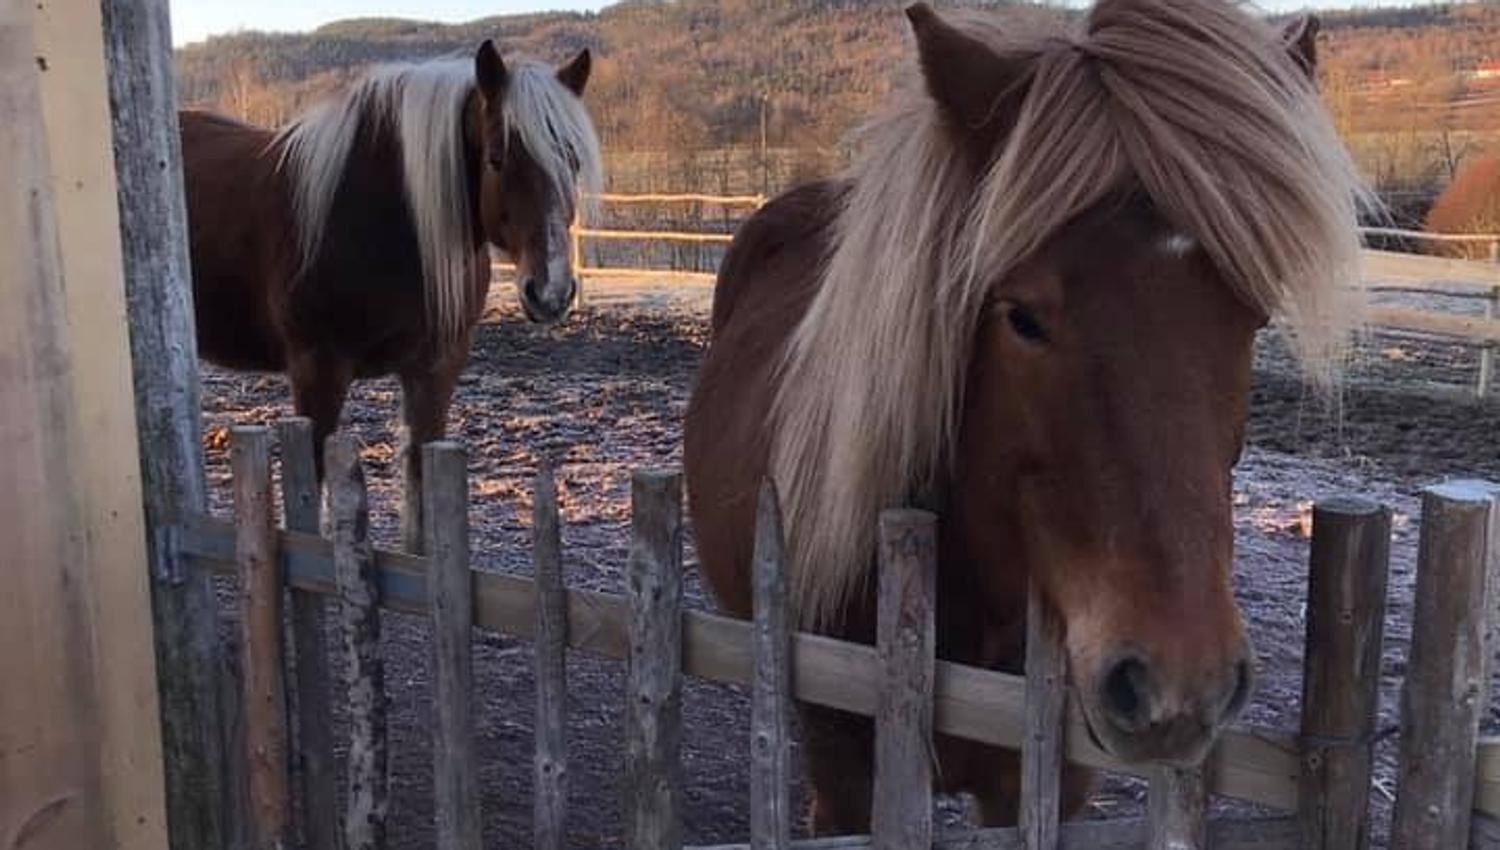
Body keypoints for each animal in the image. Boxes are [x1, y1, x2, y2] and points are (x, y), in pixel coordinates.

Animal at [180, 41, 602, 549]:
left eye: (573, 160)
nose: (551, 290)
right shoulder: (317, 371)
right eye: (497, 157)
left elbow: (422, 497)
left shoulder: (435, 372)